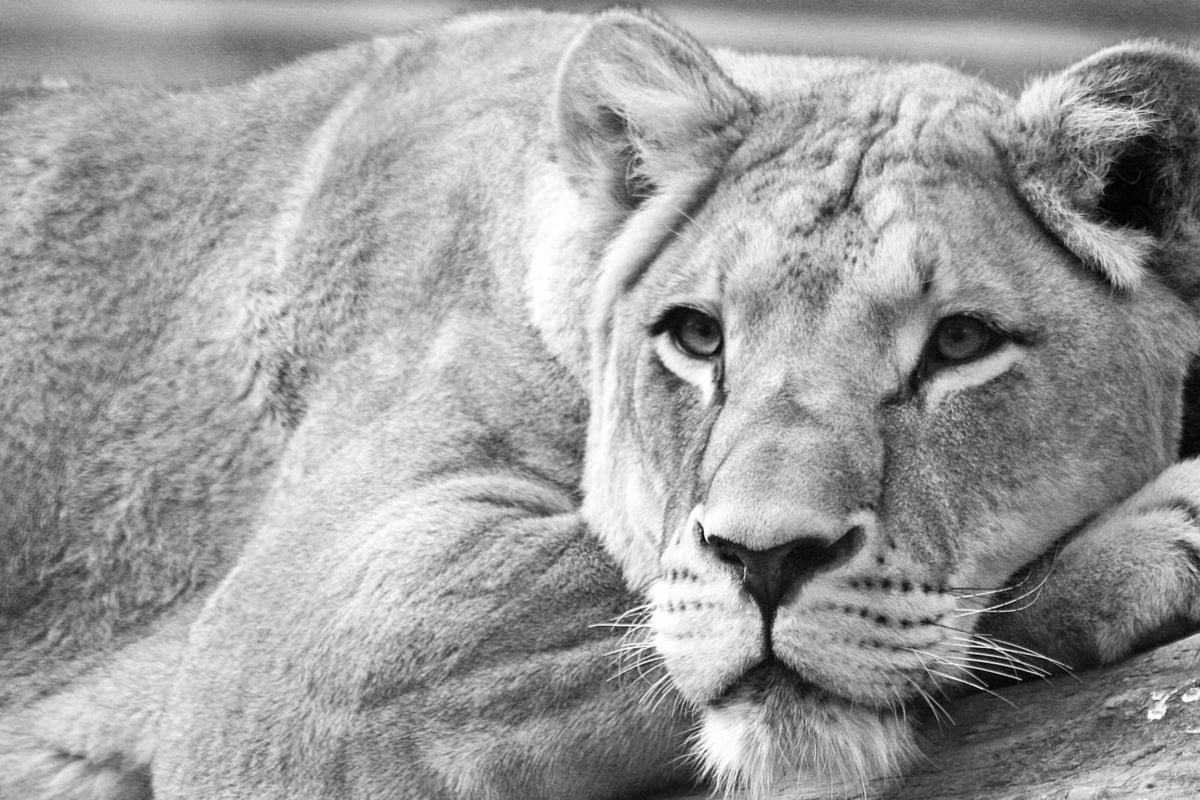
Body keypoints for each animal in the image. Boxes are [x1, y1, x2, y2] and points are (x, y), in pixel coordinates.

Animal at [2, 7, 1200, 799]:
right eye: (699, 336)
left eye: (958, 343)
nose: (767, 561)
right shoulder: (286, 654)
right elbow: (624, 596)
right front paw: (1154, 535)